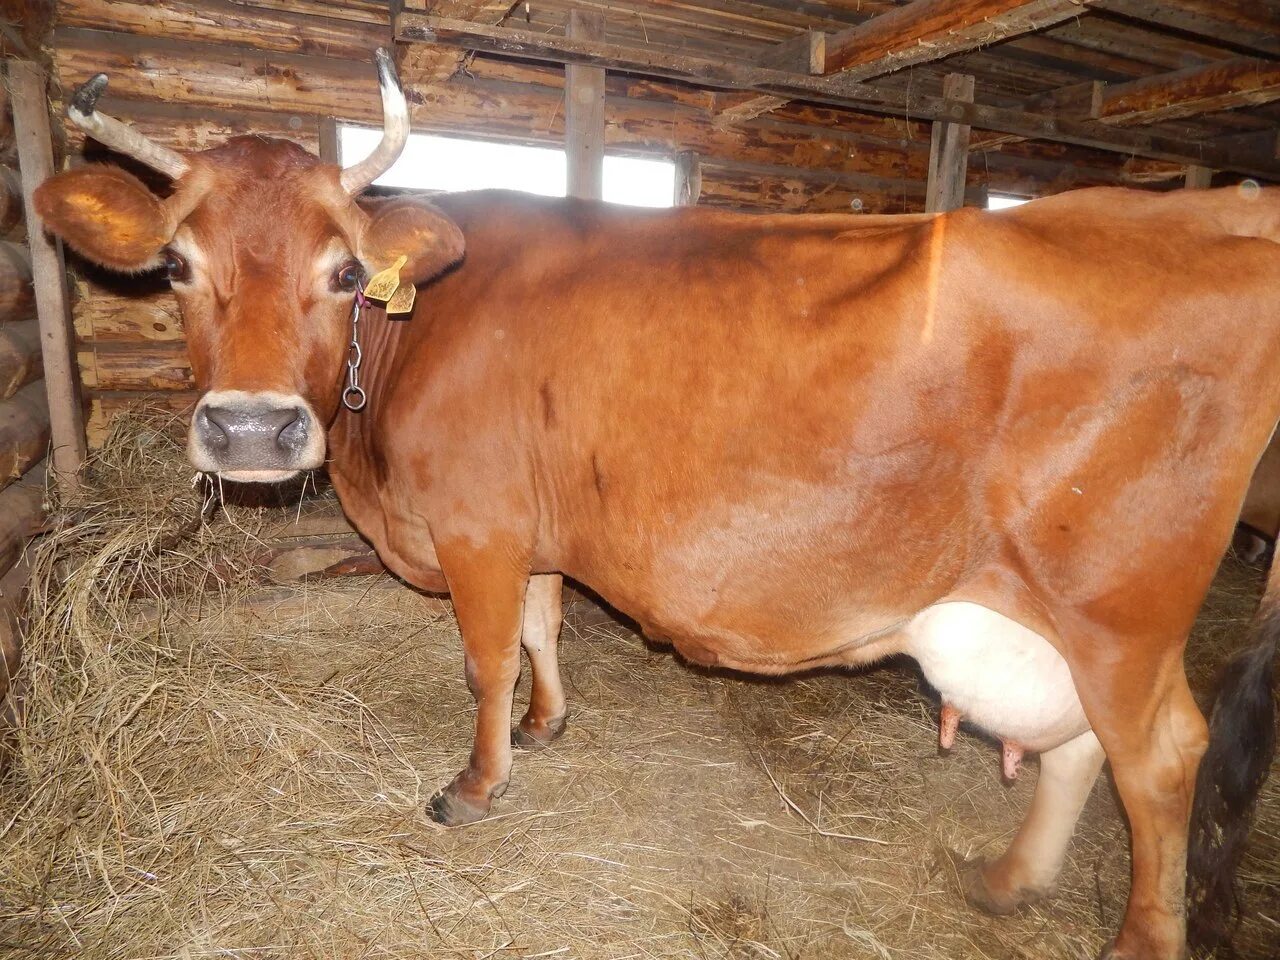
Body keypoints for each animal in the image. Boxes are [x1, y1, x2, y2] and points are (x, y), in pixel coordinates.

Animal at [35, 56, 1274, 960]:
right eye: (177, 265)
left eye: (343, 273)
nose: (250, 431)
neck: (408, 342)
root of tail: (1209, 215)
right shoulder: (529, 530)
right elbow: (543, 627)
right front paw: (546, 725)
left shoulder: (477, 529)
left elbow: (486, 656)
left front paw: (476, 783)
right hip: (1052, 614)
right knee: (1076, 748)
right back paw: (1007, 879)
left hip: (1117, 610)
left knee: (1158, 761)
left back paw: (1133, 940)